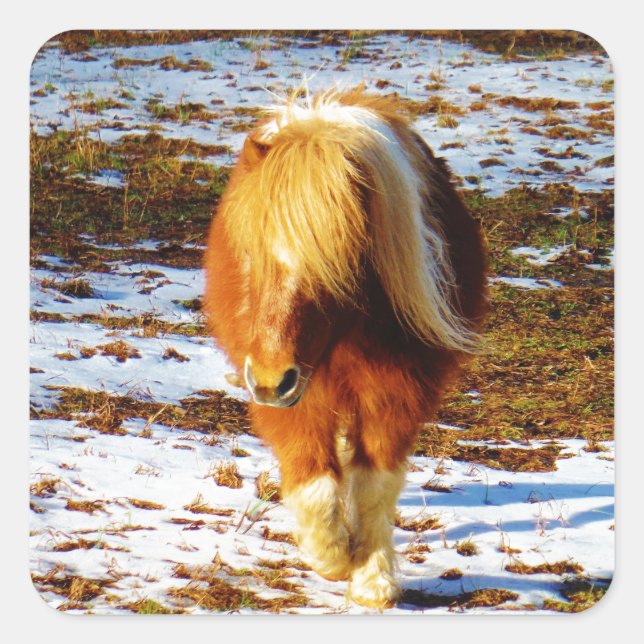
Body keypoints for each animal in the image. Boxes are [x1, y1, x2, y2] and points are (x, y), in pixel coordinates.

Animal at [204, 87, 488, 609]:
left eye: (335, 266)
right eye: (250, 255)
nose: (271, 380)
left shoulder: (397, 394)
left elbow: (375, 484)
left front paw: (373, 578)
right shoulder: (292, 397)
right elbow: (314, 480)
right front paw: (331, 556)